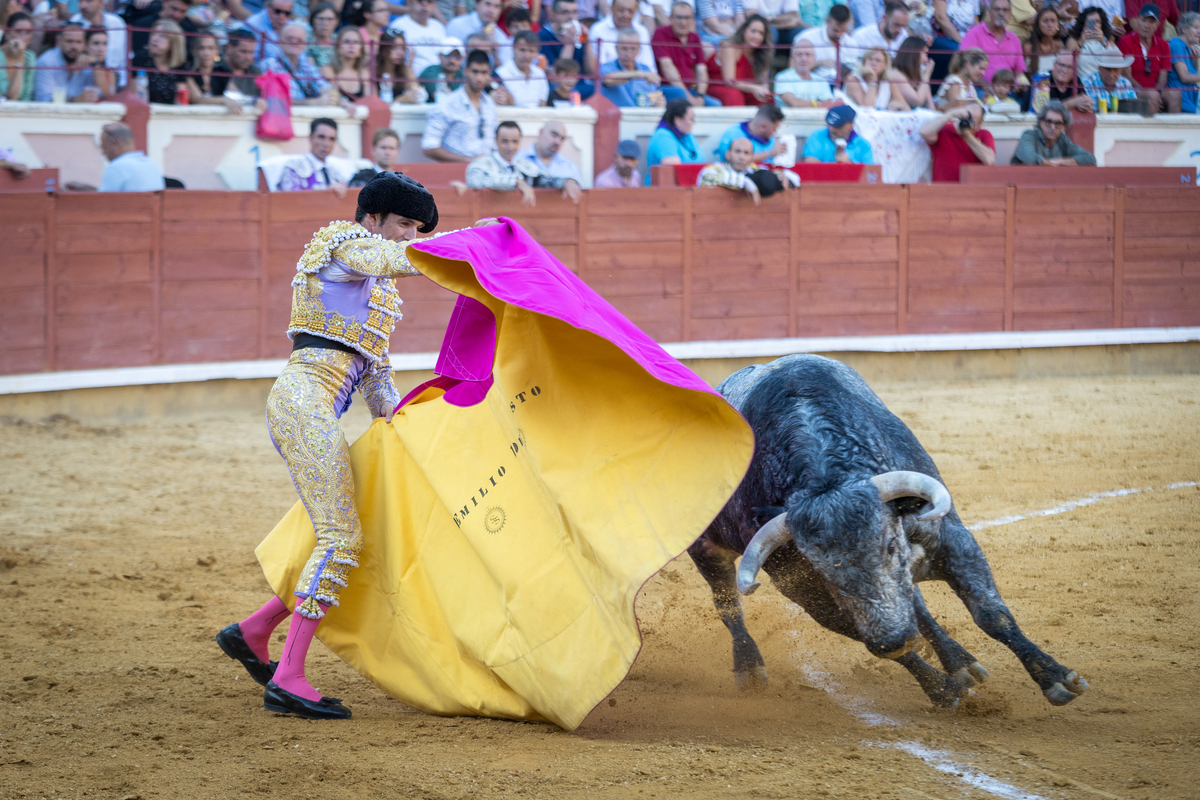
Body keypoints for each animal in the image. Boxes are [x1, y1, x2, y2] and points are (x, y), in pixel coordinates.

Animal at [686, 355, 1089, 705]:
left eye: (891, 547)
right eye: (824, 572)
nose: (894, 639)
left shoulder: (951, 541)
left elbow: (991, 614)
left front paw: (1055, 678)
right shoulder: (807, 593)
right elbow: (883, 644)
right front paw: (944, 692)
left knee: (917, 606)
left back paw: (960, 663)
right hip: (706, 551)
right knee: (728, 605)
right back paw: (749, 667)